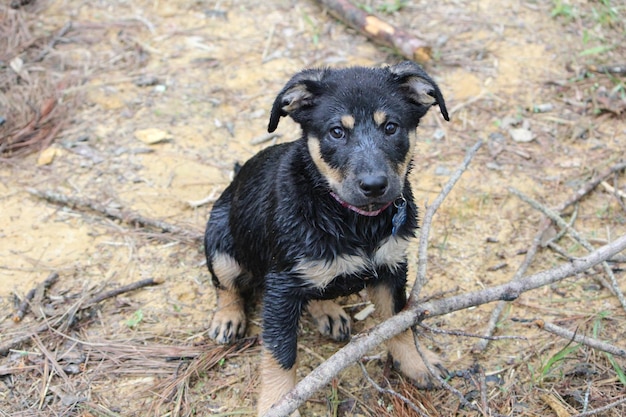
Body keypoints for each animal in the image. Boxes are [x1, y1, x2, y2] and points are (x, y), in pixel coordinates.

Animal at [205, 60, 448, 414]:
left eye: (391, 127)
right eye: (337, 132)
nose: (374, 185)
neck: (354, 221)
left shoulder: (391, 268)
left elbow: (399, 323)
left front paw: (418, 362)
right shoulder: (281, 286)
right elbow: (280, 355)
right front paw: (276, 404)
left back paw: (328, 311)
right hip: (221, 244)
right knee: (226, 286)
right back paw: (227, 318)